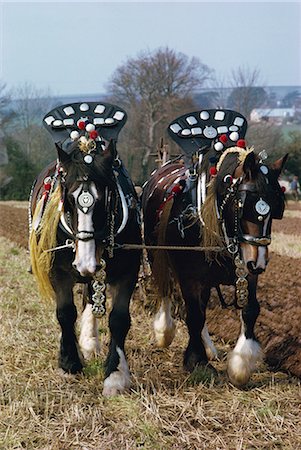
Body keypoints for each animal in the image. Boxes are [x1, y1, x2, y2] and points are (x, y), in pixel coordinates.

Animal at [29, 101, 141, 394]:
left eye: (106, 198)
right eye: (68, 199)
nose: (86, 263)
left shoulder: (128, 271)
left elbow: (119, 318)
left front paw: (115, 374)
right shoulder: (59, 271)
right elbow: (65, 312)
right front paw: (69, 363)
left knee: (91, 295)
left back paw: (90, 341)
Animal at [141, 110, 286, 386]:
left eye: (275, 207)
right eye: (245, 205)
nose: (259, 262)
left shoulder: (245, 268)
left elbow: (249, 310)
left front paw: (241, 364)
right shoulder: (189, 277)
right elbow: (194, 315)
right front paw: (196, 361)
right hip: (156, 255)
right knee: (166, 290)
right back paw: (165, 330)